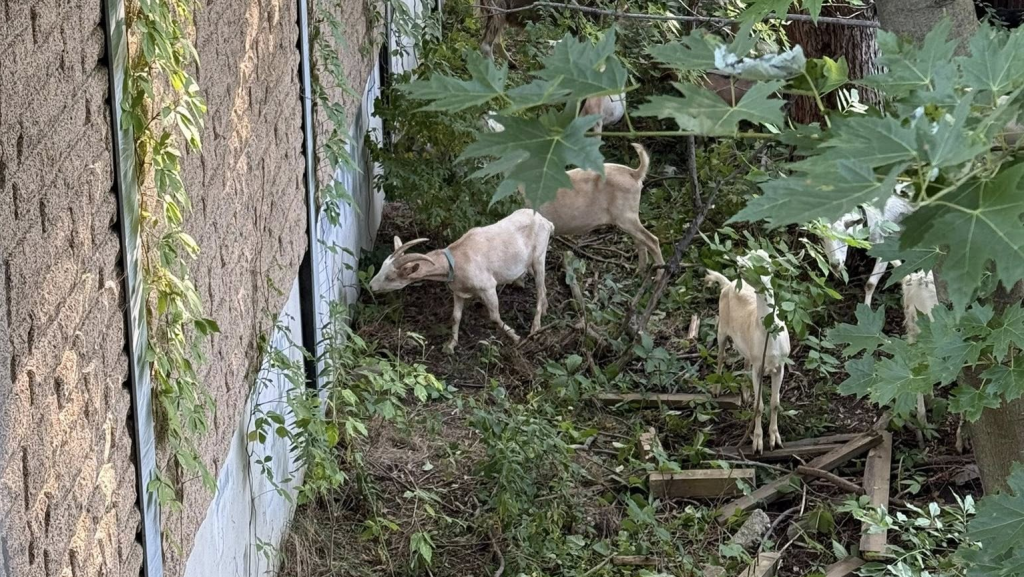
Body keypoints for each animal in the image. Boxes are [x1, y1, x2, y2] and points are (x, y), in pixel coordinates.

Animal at [369, 209, 555, 353]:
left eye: (390, 277)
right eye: (382, 267)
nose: (371, 286)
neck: (457, 260)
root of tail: (547, 222)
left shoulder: (487, 287)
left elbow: (494, 316)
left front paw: (515, 337)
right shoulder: (458, 290)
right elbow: (456, 316)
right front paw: (450, 346)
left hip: (539, 257)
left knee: (540, 289)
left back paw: (536, 327)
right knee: (544, 288)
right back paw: (545, 310)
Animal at [526, 143, 664, 278]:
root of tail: (634, 173)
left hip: (626, 216)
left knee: (652, 241)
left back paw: (659, 277)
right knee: (640, 241)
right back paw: (639, 273)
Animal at [705, 250, 792, 453]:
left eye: (764, 259)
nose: (740, 263)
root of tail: (728, 284)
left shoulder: (780, 365)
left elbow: (775, 403)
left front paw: (775, 439)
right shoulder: (758, 367)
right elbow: (759, 406)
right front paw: (757, 444)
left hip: (745, 347)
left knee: (744, 361)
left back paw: (745, 393)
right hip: (722, 327)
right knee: (720, 356)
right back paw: (716, 389)